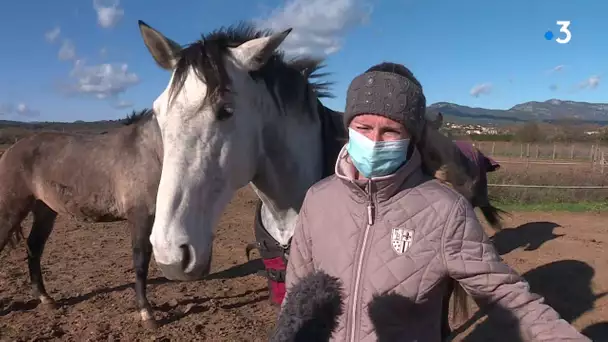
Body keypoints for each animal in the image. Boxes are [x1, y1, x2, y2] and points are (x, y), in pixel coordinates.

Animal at [0, 109, 163, 328]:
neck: (150, 149)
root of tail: (10, 151)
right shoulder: (141, 215)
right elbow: (141, 261)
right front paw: (147, 313)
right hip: (11, 211)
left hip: (45, 211)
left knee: (34, 248)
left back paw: (46, 299)